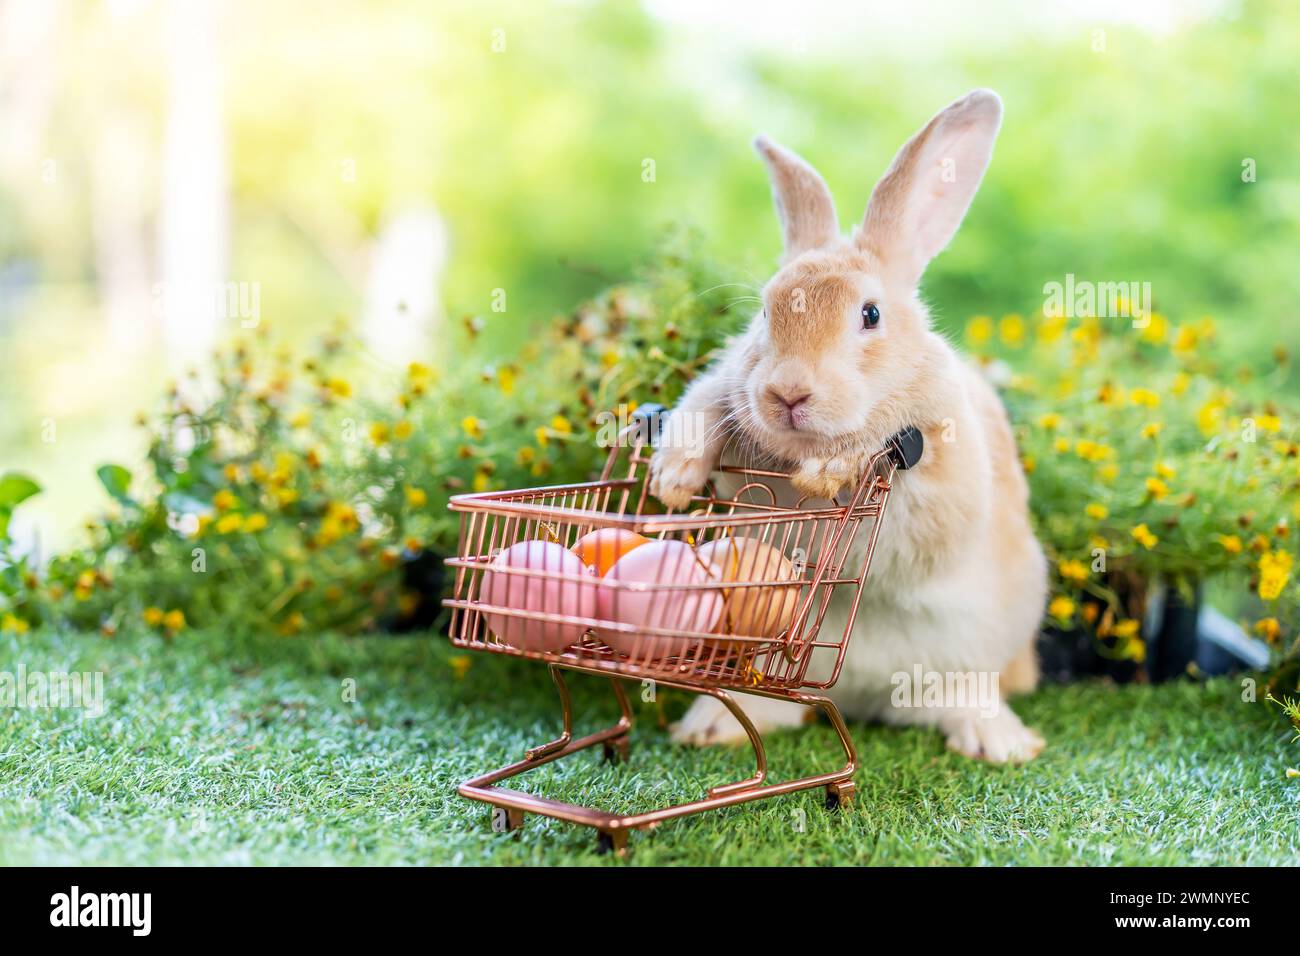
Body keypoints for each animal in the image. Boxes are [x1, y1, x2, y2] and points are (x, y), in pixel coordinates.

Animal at [647, 89, 1045, 764]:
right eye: (765, 312)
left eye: (871, 314)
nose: (788, 392)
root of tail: (854, 695)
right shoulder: (724, 387)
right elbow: (701, 410)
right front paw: (672, 478)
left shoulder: (944, 460)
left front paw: (830, 468)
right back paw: (712, 726)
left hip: (972, 655)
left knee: (966, 695)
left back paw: (999, 744)